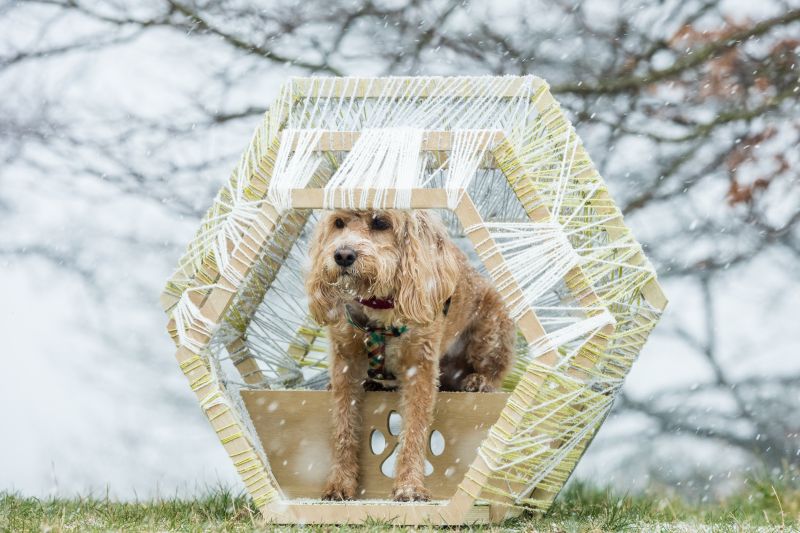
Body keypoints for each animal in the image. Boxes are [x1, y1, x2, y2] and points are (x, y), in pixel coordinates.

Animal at [304, 209, 516, 502]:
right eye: (338, 223)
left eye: (381, 222)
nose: (343, 255)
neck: (378, 305)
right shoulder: (345, 360)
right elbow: (344, 425)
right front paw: (340, 483)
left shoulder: (420, 365)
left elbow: (415, 428)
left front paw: (409, 487)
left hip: (493, 324)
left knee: (494, 369)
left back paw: (478, 381)